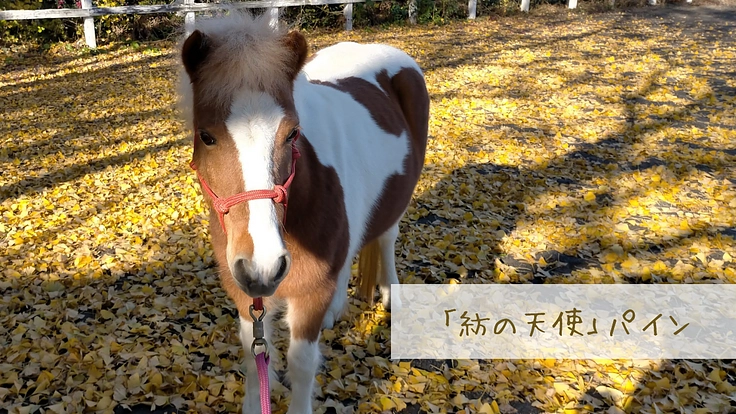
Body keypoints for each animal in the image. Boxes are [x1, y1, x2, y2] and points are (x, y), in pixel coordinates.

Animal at [178, 12, 429, 414]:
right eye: (206, 136)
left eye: (293, 133)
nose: (262, 265)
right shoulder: (246, 296)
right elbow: (255, 357)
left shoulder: (310, 295)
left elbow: (301, 363)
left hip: (398, 201)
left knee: (386, 237)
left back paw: (392, 296)